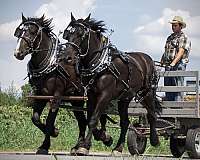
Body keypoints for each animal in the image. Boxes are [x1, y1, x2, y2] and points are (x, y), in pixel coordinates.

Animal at [13, 14, 112, 154]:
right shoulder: (40, 96)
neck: (51, 65)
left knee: (95, 117)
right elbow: (35, 118)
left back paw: (102, 137)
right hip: (77, 100)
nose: (18, 53)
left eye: (32, 32)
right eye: (19, 32)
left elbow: (49, 120)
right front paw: (54, 132)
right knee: (82, 121)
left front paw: (45, 145)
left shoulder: (57, 96)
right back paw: (79, 145)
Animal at [63, 13, 162, 155]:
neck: (100, 64)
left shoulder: (105, 95)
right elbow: (91, 119)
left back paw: (154, 140)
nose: (67, 57)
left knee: (152, 115)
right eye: (66, 34)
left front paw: (84, 146)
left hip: (146, 92)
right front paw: (104, 138)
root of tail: (148, 59)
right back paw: (118, 148)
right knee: (125, 122)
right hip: (124, 98)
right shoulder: (92, 95)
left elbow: (93, 120)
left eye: (81, 34)